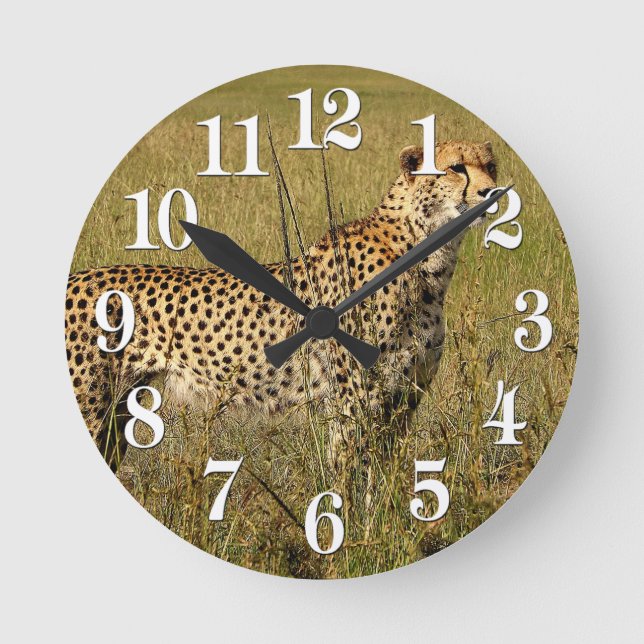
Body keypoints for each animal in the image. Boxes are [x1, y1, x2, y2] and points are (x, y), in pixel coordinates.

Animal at [65, 140, 497, 475]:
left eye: (490, 166)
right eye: (456, 167)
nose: (492, 192)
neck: (425, 254)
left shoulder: (402, 398)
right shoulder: (355, 400)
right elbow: (353, 476)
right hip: (94, 407)